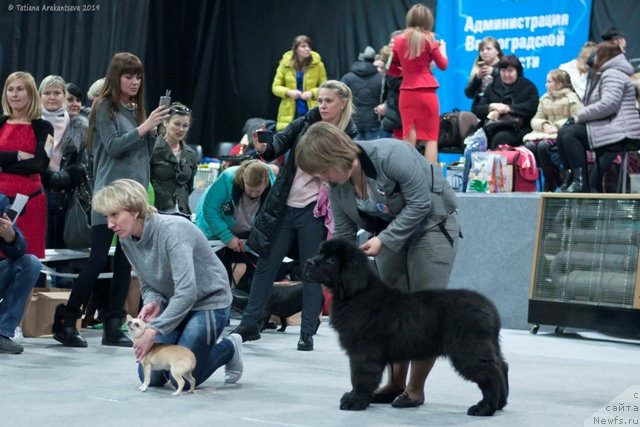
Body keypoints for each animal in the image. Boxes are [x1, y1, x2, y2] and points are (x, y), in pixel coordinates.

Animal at [304, 241, 510, 418]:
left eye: (331, 260)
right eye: (320, 253)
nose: (308, 262)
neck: (356, 294)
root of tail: (489, 307)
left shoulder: (364, 352)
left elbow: (360, 376)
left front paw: (354, 401)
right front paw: (354, 397)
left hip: (468, 348)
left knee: (490, 372)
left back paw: (484, 408)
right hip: (487, 345)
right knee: (502, 367)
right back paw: (500, 403)